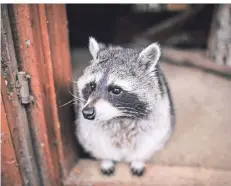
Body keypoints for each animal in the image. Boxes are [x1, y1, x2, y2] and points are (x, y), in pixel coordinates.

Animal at [75, 37, 174, 177]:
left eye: (116, 90)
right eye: (92, 86)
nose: (87, 112)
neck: (119, 117)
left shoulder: (160, 111)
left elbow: (149, 140)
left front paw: (138, 159)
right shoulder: (84, 122)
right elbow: (95, 139)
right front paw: (106, 158)